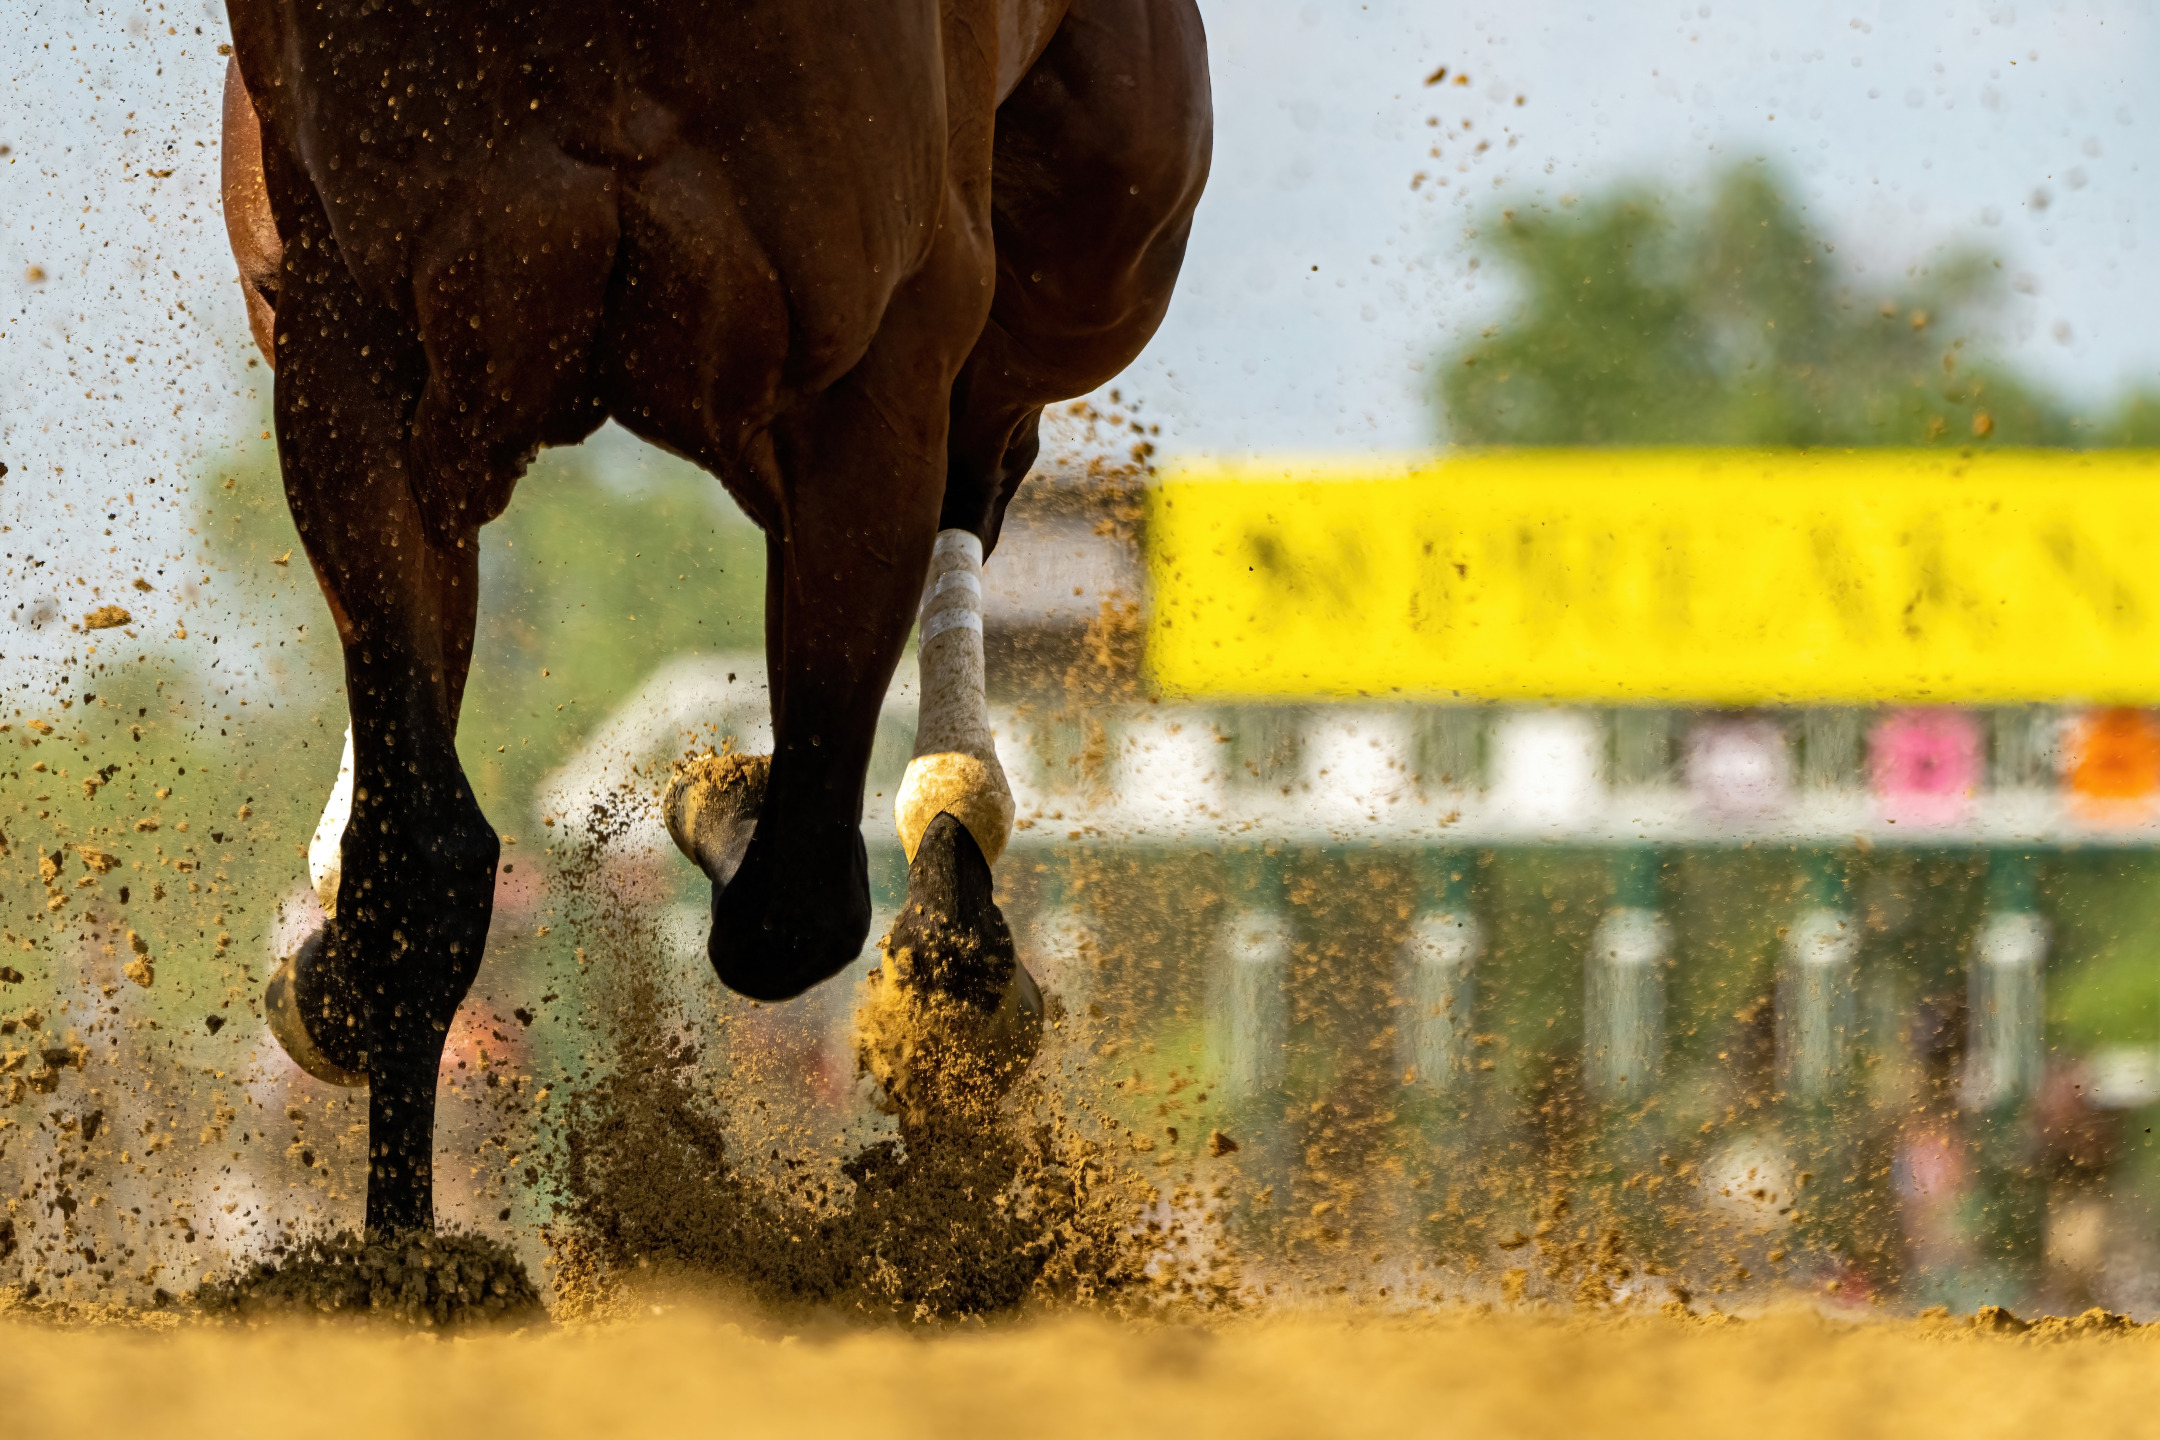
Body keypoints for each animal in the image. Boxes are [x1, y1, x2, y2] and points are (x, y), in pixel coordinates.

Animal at [219, 2, 1218, 1243]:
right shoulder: (348, 334)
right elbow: (421, 866)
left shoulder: (874, 366)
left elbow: (799, 900)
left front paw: (736, 805)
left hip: (1101, 233)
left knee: (989, 449)